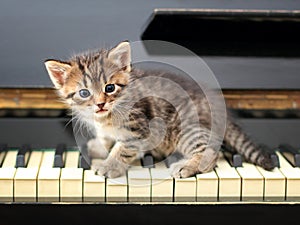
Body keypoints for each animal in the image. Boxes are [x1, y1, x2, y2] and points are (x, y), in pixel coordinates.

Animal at [43, 40, 276, 178]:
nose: (100, 103)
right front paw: (99, 147)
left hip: (185, 128)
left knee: (210, 151)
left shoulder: (138, 127)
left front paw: (110, 166)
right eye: (84, 93)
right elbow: (107, 138)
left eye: (110, 88)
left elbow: (123, 148)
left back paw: (186, 166)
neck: (107, 116)